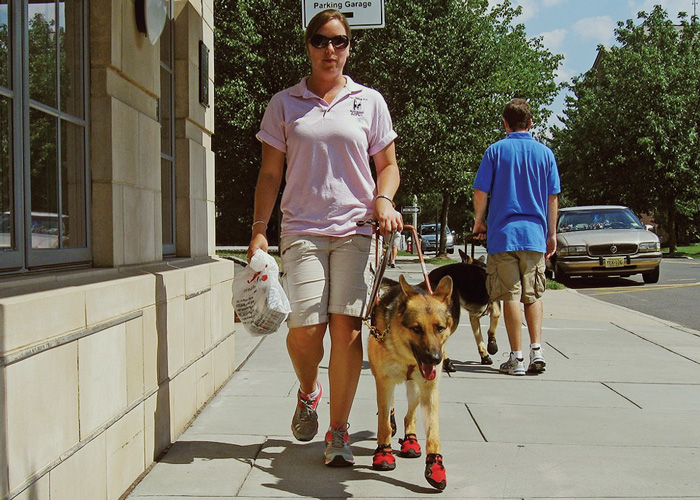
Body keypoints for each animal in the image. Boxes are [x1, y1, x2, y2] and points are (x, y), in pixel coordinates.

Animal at [366, 274, 454, 488]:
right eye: (416, 328)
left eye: (440, 328)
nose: (435, 359)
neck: (405, 356)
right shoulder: (384, 382)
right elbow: (384, 424)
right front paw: (384, 452)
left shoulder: (429, 390)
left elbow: (433, 433)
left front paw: (435, 465)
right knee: (389, 409)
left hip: (415, 390)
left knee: (410, 416)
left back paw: (410, 439)